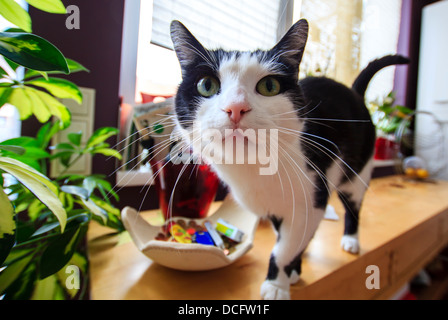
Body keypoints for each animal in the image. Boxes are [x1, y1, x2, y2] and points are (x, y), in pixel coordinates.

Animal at [169, 19, 410, 300]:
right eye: (206, 85)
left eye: (269, 86)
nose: (236, 108)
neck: (253, 171)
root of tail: (353, 92)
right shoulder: (276, 209)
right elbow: (288, 238)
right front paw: (294, 268)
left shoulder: (311, 198)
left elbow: (284, 248)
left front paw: (277, 284)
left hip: (357, 173)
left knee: (353, 206)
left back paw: (351, 239)